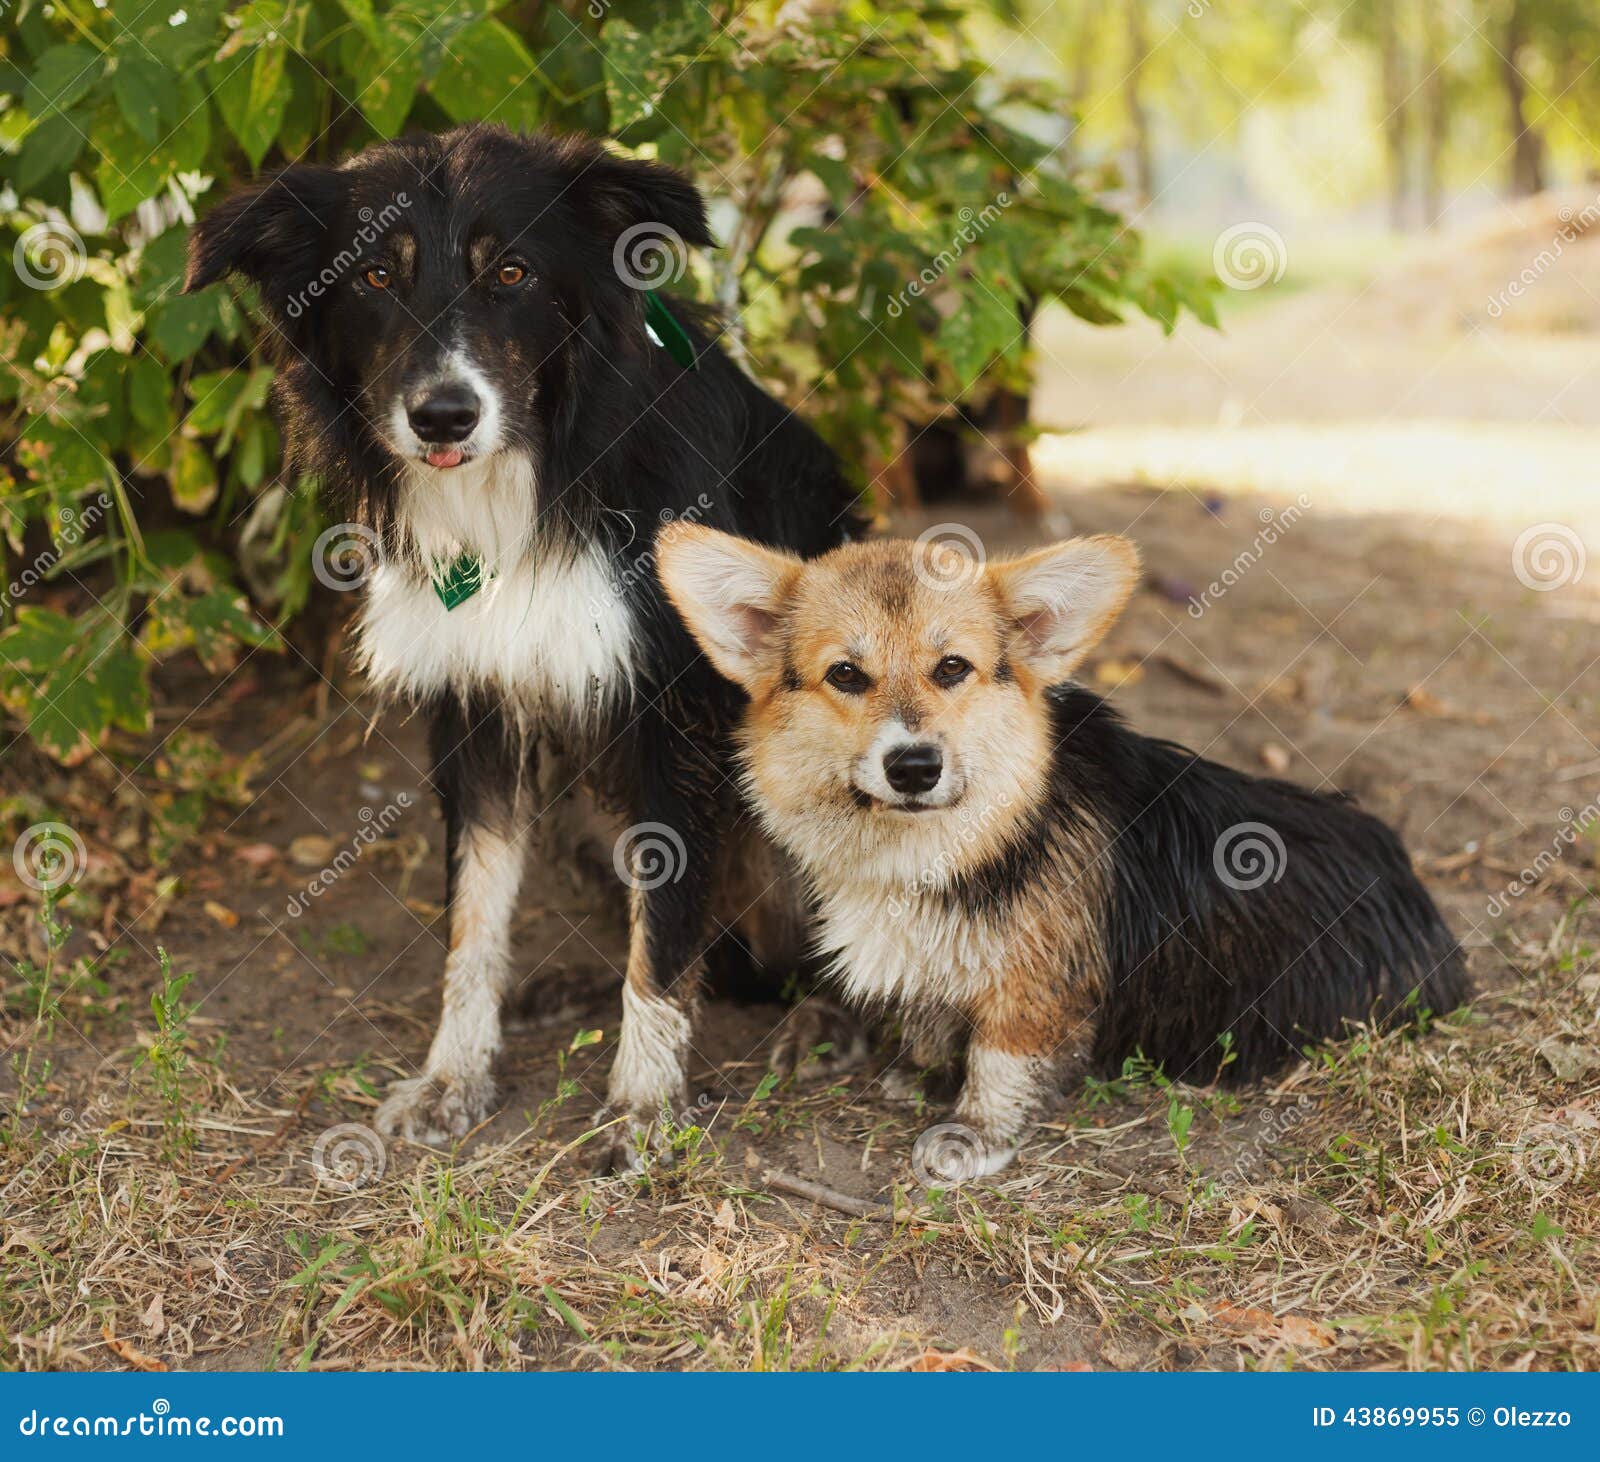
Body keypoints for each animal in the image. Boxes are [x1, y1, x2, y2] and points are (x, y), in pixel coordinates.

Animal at [184, 125, 864, 1164]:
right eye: (374, 275)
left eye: (511, 272)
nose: (443, 415)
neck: (534, 481)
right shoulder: (478, 709)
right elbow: (475, 917)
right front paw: (454, 1077)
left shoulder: (674, 712)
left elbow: (666, 925)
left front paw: (644, 1102)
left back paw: (825, 1021)